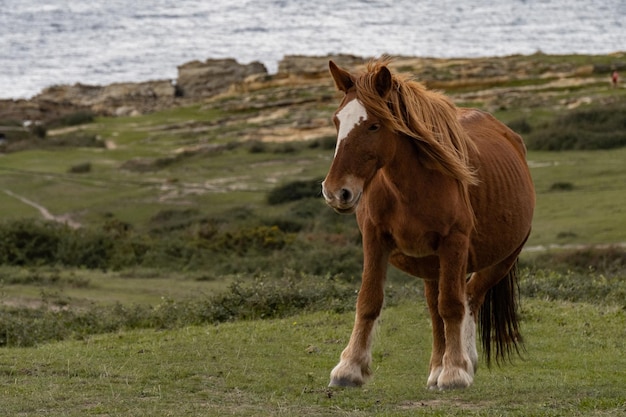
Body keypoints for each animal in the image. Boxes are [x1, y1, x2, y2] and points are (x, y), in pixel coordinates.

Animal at [322, 58, 532, 390]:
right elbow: (369, 300)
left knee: (469, 297)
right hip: (432, 265)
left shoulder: (454, 243)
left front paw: (456, 371)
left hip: (501, 259)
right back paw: (437, 367)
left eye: (374, 125)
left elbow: (453, 306)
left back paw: (464, 361)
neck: (410, 187)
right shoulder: (374, 239)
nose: (335, 192)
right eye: (337, 121)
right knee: (437, 310)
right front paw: (349, 368)